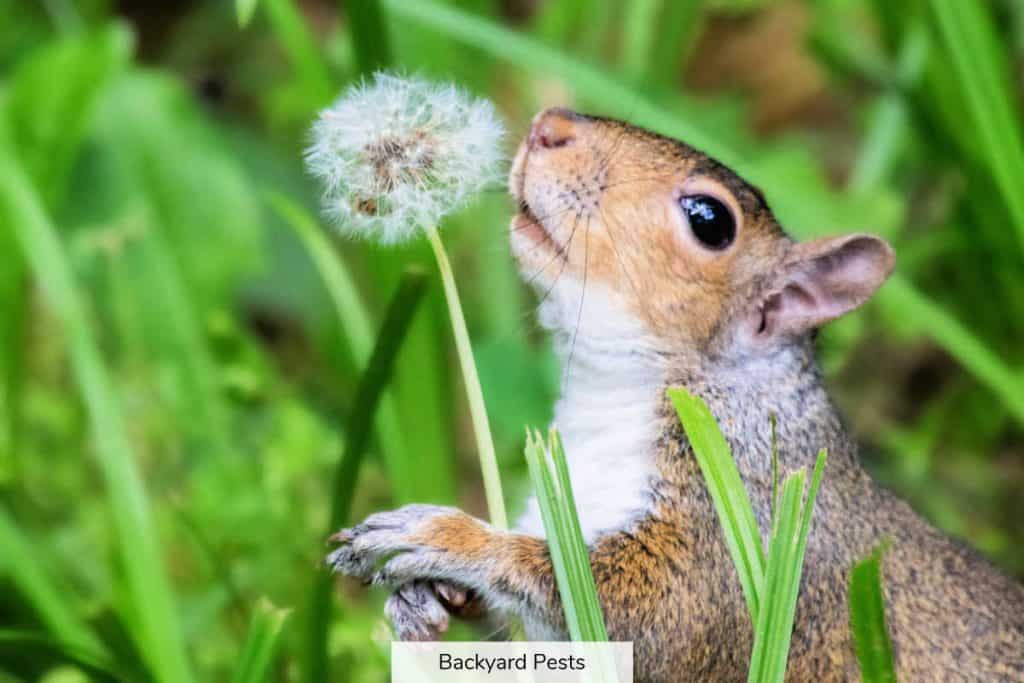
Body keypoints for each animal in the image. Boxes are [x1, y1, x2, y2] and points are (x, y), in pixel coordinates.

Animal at [327, 108, 1024, 681]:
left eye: (710, 221)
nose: (550, 124)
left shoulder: (745, 536)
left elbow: (632, 613)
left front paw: (447, 537)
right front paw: (423, 602)